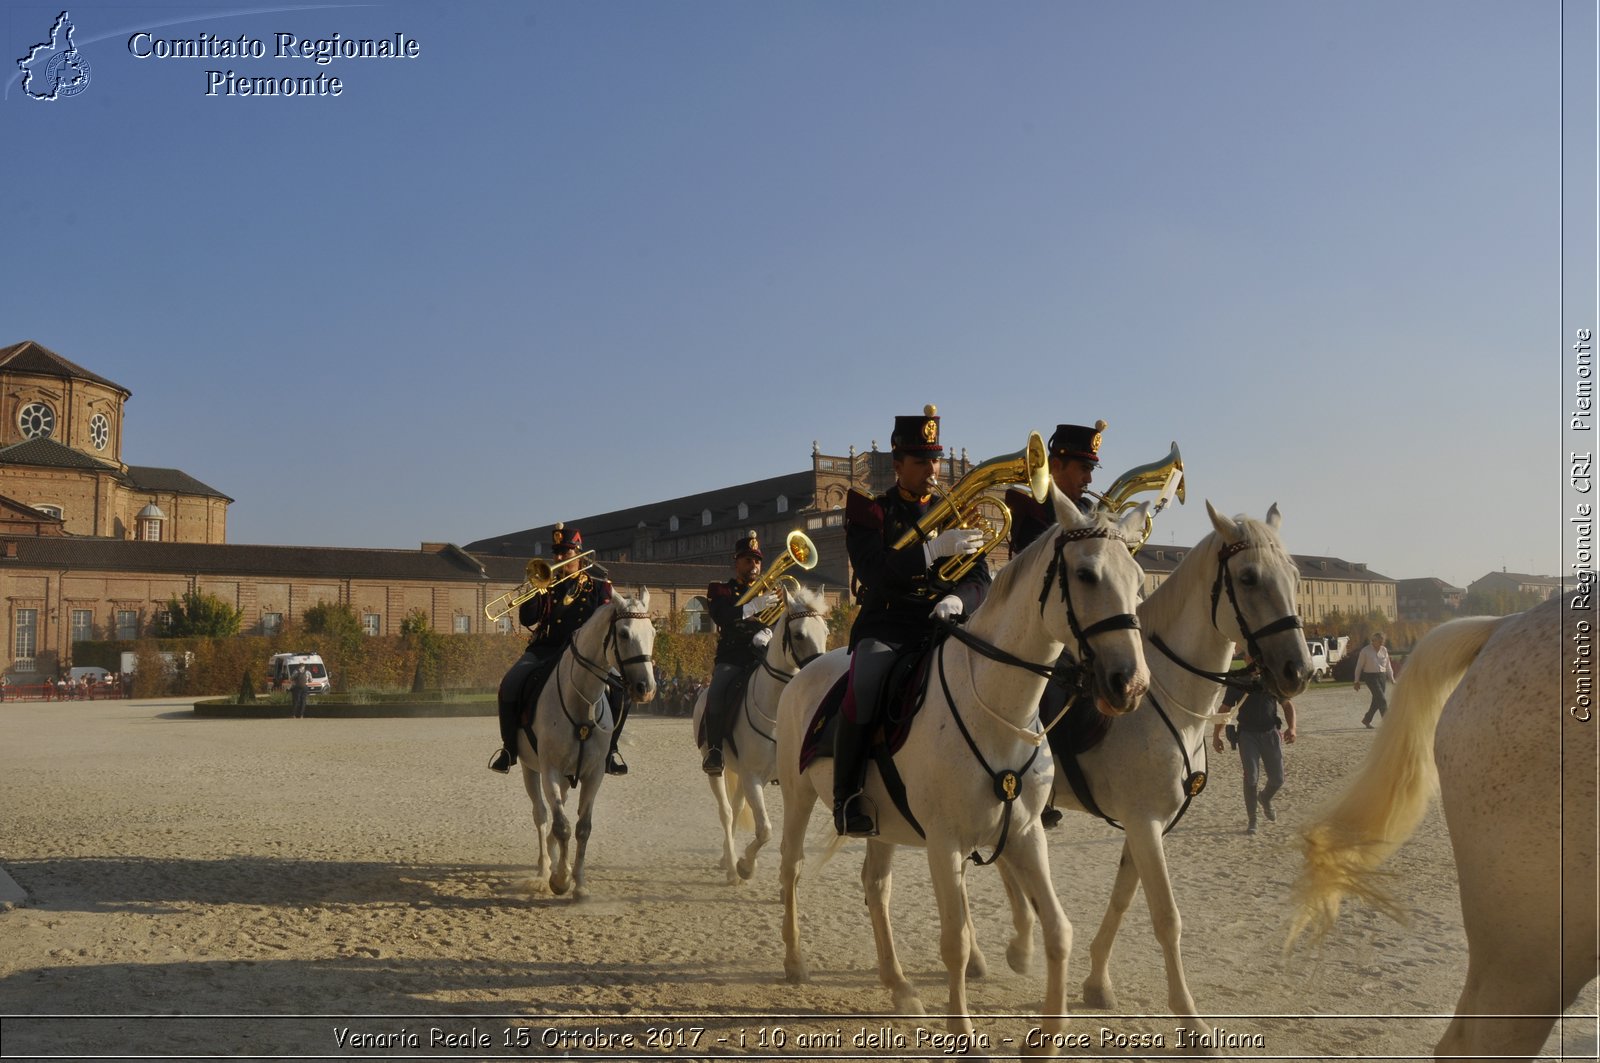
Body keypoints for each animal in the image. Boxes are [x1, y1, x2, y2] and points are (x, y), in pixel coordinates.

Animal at [518, 589, 656, 896]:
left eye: (653, 633)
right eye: (624, 633)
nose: (646, 688)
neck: (582, 704)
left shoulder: (594, 774)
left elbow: (582, 827)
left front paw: (578, 883)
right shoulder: (550, 770)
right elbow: (561, 825)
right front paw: (559, 880)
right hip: (529, 768)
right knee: (540, 814)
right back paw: (544, 869)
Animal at [691, 585, 832, 883]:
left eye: (826, 631)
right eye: (799, 634)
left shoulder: (780, 779)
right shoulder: (754, 775)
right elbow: (765, 829)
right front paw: (746, 865)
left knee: (735, 808)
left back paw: (727, 859)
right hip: (718, 768)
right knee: (726, 812)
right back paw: (732, 867)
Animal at [774, 493, 1152, 1043]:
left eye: (1137, 578)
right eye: (1085, 574)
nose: (1132, 683)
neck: (998, 708)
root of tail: (809, 669)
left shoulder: (1025, 833)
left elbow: (1058, 928)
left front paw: (1049, 1034)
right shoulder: (943, 841)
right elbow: (953, 939)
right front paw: (965, 1035)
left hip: (880, 822)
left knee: (875, 887)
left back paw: (899, 986)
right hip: (798, 797)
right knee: (792, 867)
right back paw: (796, 961)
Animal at [998, 502, 1312, 1030]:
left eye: (1294, 577)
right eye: (1248, 578)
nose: (1300, 670)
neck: (1164, 698)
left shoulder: (1146, 824)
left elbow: (1124, 899)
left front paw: (1096, 982)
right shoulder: (1144, 822)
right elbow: (1166, 917)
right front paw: (1189, 1020)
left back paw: (1017, 947)